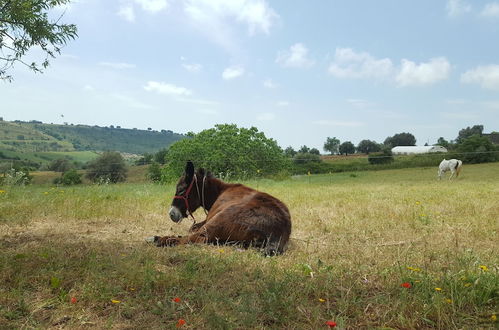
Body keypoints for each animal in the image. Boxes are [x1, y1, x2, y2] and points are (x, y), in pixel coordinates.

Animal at [150, 161, 294, 254]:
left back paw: (160, 239)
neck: (220, 190)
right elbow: (193, 227)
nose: (171, 213)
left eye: (181, 190)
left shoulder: (209, 219)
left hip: (221, 219)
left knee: (197, 238)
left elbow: (193, 229)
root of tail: (278, 231)